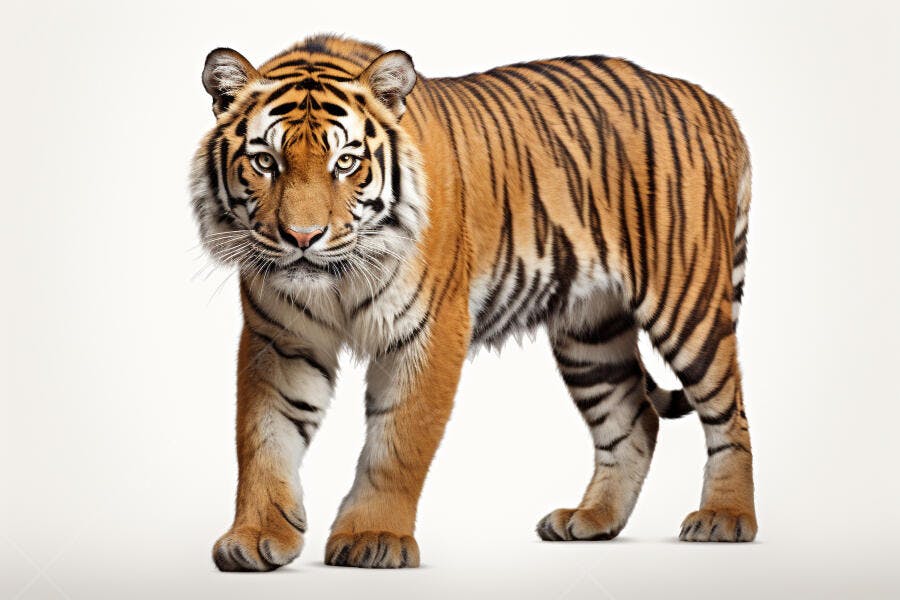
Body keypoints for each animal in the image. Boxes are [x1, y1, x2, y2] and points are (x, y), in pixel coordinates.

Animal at [191, 33, 756, 571]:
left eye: (345, 162)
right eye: (266, 161)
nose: (302, 238)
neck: (336, 280)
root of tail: (714, 104)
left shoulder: (429, 330)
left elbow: (398, 441)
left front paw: (374, 537)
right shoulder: (281, 340)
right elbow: (264, 437)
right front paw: (256, 536)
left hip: (688, 305)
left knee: (729, 413)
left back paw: (725, 518)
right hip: (590, 332)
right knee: (634, 418)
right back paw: (592, 519)